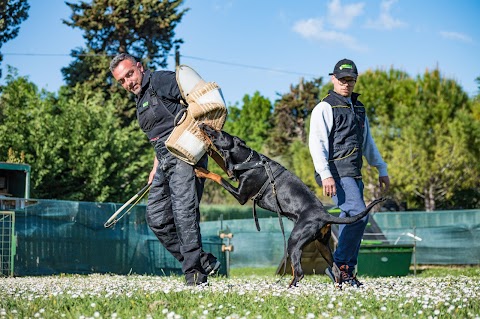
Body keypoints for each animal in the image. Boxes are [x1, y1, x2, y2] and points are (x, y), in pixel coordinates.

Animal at [195, 124, 386, 288]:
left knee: (299, 272)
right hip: (322, 245)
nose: (203, 124)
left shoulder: (241, 195)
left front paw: (200, 170)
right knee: (336, 271)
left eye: (219, 131)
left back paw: (287, 290)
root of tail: (325, 215)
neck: (248, 161)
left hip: (294, 242)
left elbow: (218, 176)